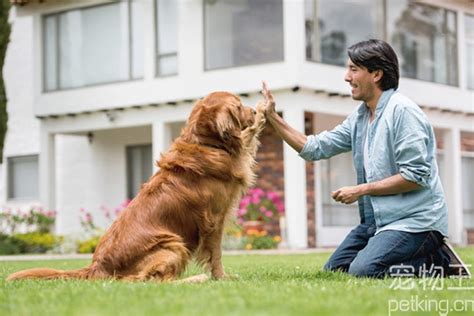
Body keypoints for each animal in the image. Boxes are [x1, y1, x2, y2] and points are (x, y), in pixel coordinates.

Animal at [6, 91, 266, 282]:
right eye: (238, 105)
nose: (253, 110)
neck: (206, 144)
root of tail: (97, 266)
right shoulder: (214, 220)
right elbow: (216, 254)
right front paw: (221, 278)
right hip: (172, 244)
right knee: (149, 281)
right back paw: (196, 280)